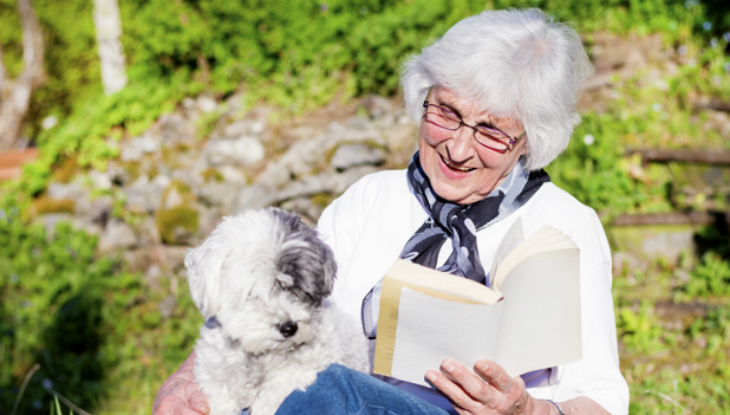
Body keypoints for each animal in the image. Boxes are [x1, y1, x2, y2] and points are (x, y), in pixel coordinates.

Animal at [185, 208, 366, 415]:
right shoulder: (215, 378)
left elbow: (276, 390)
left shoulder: (307, 367)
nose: (289, 328)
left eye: (299, 289)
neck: (260, 355)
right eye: (254, 291)